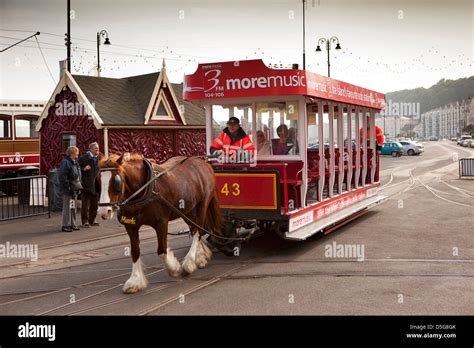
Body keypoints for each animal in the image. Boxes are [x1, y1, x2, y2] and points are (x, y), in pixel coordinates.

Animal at [97, 153, 223, 294]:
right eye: (98, 181)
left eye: (116, 182)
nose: (103, 211)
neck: (145, 189)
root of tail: (203, 162)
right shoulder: (131, 227)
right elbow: (135, 251)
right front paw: (135, 280)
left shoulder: (161, 223)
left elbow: (162, 251)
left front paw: (174, 268)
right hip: (186, 210)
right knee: (194, 228)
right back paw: (200, 257)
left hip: (203, 204)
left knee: (198, 231)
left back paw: (189, 262)